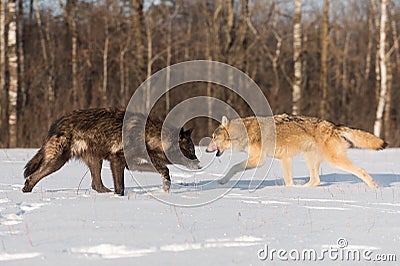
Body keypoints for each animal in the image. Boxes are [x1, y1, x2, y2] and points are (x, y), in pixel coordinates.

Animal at [21, 107, 200, 195]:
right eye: (190, 150)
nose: (199, 165)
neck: (147, 135)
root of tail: (56, 124)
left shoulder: (132, 163)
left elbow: (165, 169)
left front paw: (166, 187)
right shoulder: (118, 162)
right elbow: (120, 187)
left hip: (95, 161)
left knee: (96, 185)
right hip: (56, 163)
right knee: (31, 177)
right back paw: (26, 192)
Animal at [205, 114, 386, 187]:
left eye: (213, 137)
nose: (206, 150)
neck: (244, 132)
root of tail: (334, 126)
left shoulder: (259, 160)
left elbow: (234, 167)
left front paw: (222, 181)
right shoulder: (285, 159)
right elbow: (288, 181)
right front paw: (289, 191)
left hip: (333, 160)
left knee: (361, 170)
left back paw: (373, 186)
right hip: (309, 159)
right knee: (315, 181)